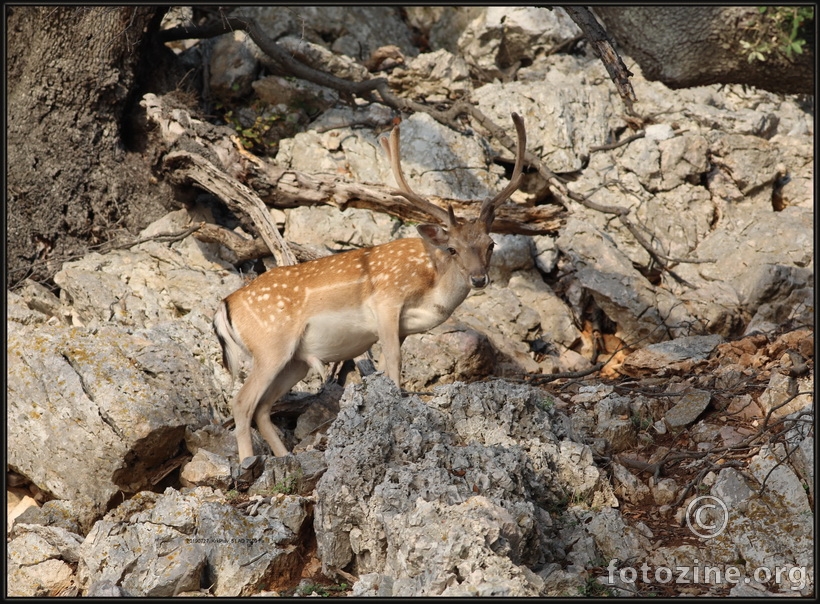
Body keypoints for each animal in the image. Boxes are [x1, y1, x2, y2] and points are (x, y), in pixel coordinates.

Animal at [215, 113, 528, 460]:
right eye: (452, 248)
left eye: (491, 244)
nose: (478, 278)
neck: (432, 288)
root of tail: (224, 306)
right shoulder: (387, 301)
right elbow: (393, 361)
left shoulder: (402, 326)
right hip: (271, 345)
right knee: (242, 402)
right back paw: (248, 461)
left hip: (295, 361)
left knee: (262, 407)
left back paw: (285, 459)